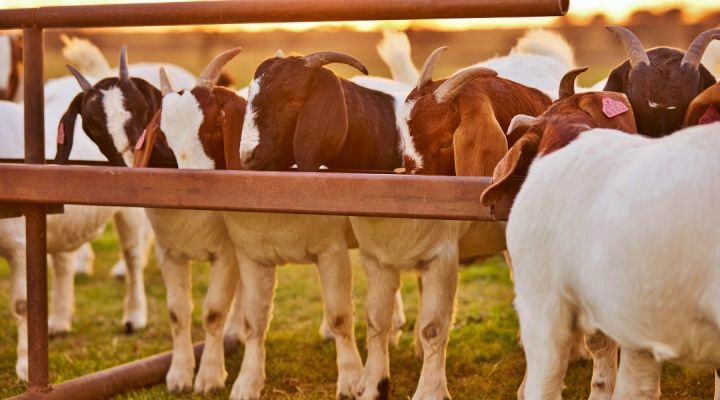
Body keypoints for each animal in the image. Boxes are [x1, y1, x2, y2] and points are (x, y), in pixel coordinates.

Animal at [144, 51, 365, 400]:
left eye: (214, 127)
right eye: (163, 138)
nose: (193, 180)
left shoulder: (330, 251)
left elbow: (340, 315)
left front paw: (353, 382)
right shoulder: (194, 253)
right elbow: (209, 316)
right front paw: (193, 377)